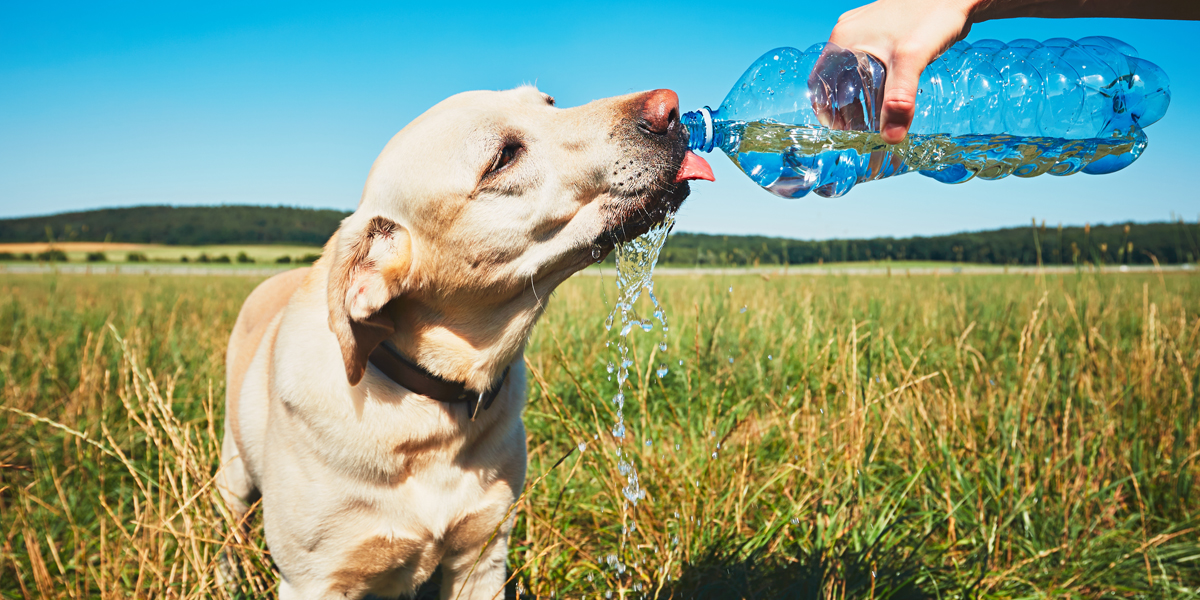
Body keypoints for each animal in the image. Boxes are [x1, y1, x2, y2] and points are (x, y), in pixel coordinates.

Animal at [217, 85, 710, 600]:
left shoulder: (483, 554)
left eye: (549, 102)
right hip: (233, 471)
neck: (430, 409)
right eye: (503, 157)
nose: (670, 107)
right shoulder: (313, 579)